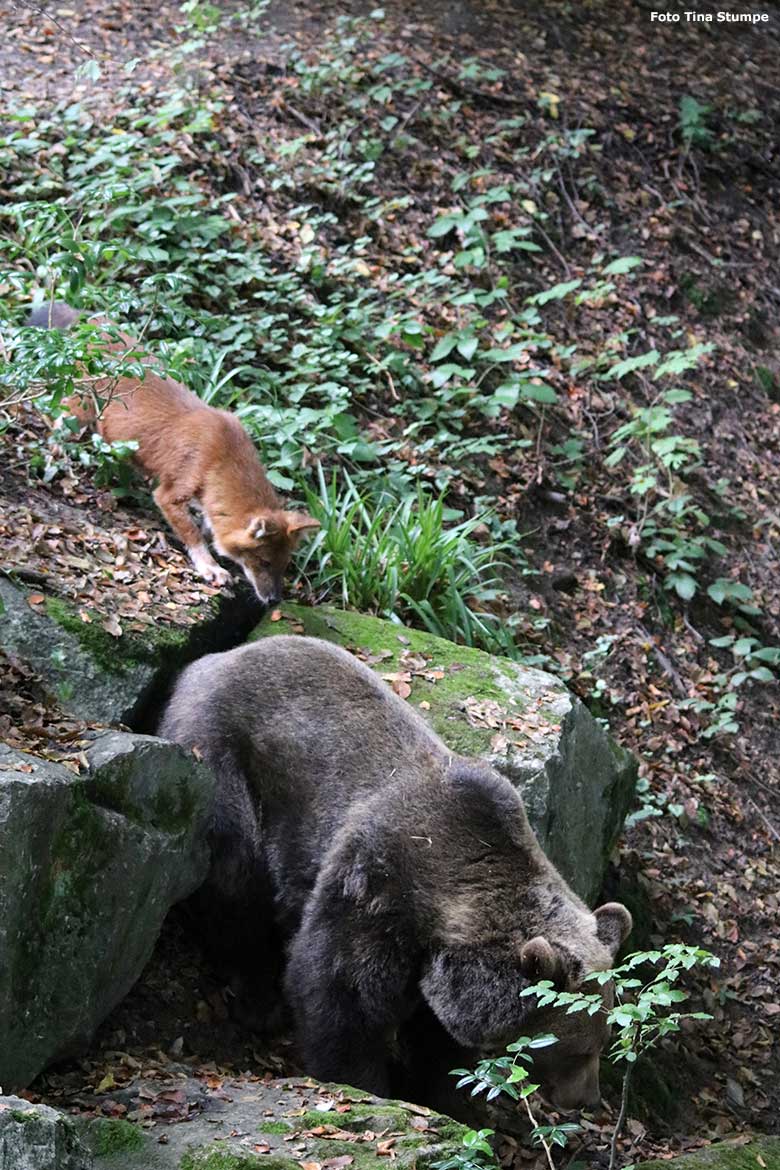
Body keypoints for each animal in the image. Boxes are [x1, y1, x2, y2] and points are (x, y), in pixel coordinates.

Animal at [161, 636, 631, 1109]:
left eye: (603, 1038)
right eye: (578, 1047)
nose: (588, 1098)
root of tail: (212, 659)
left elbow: (438, 1037)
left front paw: (443, 1093)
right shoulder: (376, 884)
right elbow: (338, 991)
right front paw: (364, 1081)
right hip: (221, 761)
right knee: (236, 879)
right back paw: (257, 998)